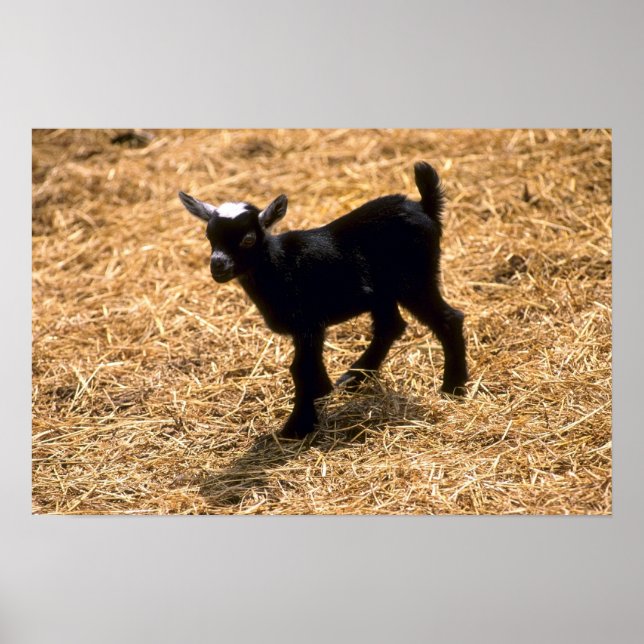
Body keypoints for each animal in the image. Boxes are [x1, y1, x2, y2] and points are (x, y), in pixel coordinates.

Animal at [178, 161, 468, 438]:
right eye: (209, 236)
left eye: (248, 239)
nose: (218, 265)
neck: (280, 264)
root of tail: (424, 206)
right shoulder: (309, 328)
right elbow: (307, 369)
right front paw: (320, 397)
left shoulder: (308, 323)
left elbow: (301, 370)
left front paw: (298, 426)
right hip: (383, 292)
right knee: (390, 326)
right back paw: (354, 377)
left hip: (415, 280)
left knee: (448, 319)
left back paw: (453, 387)